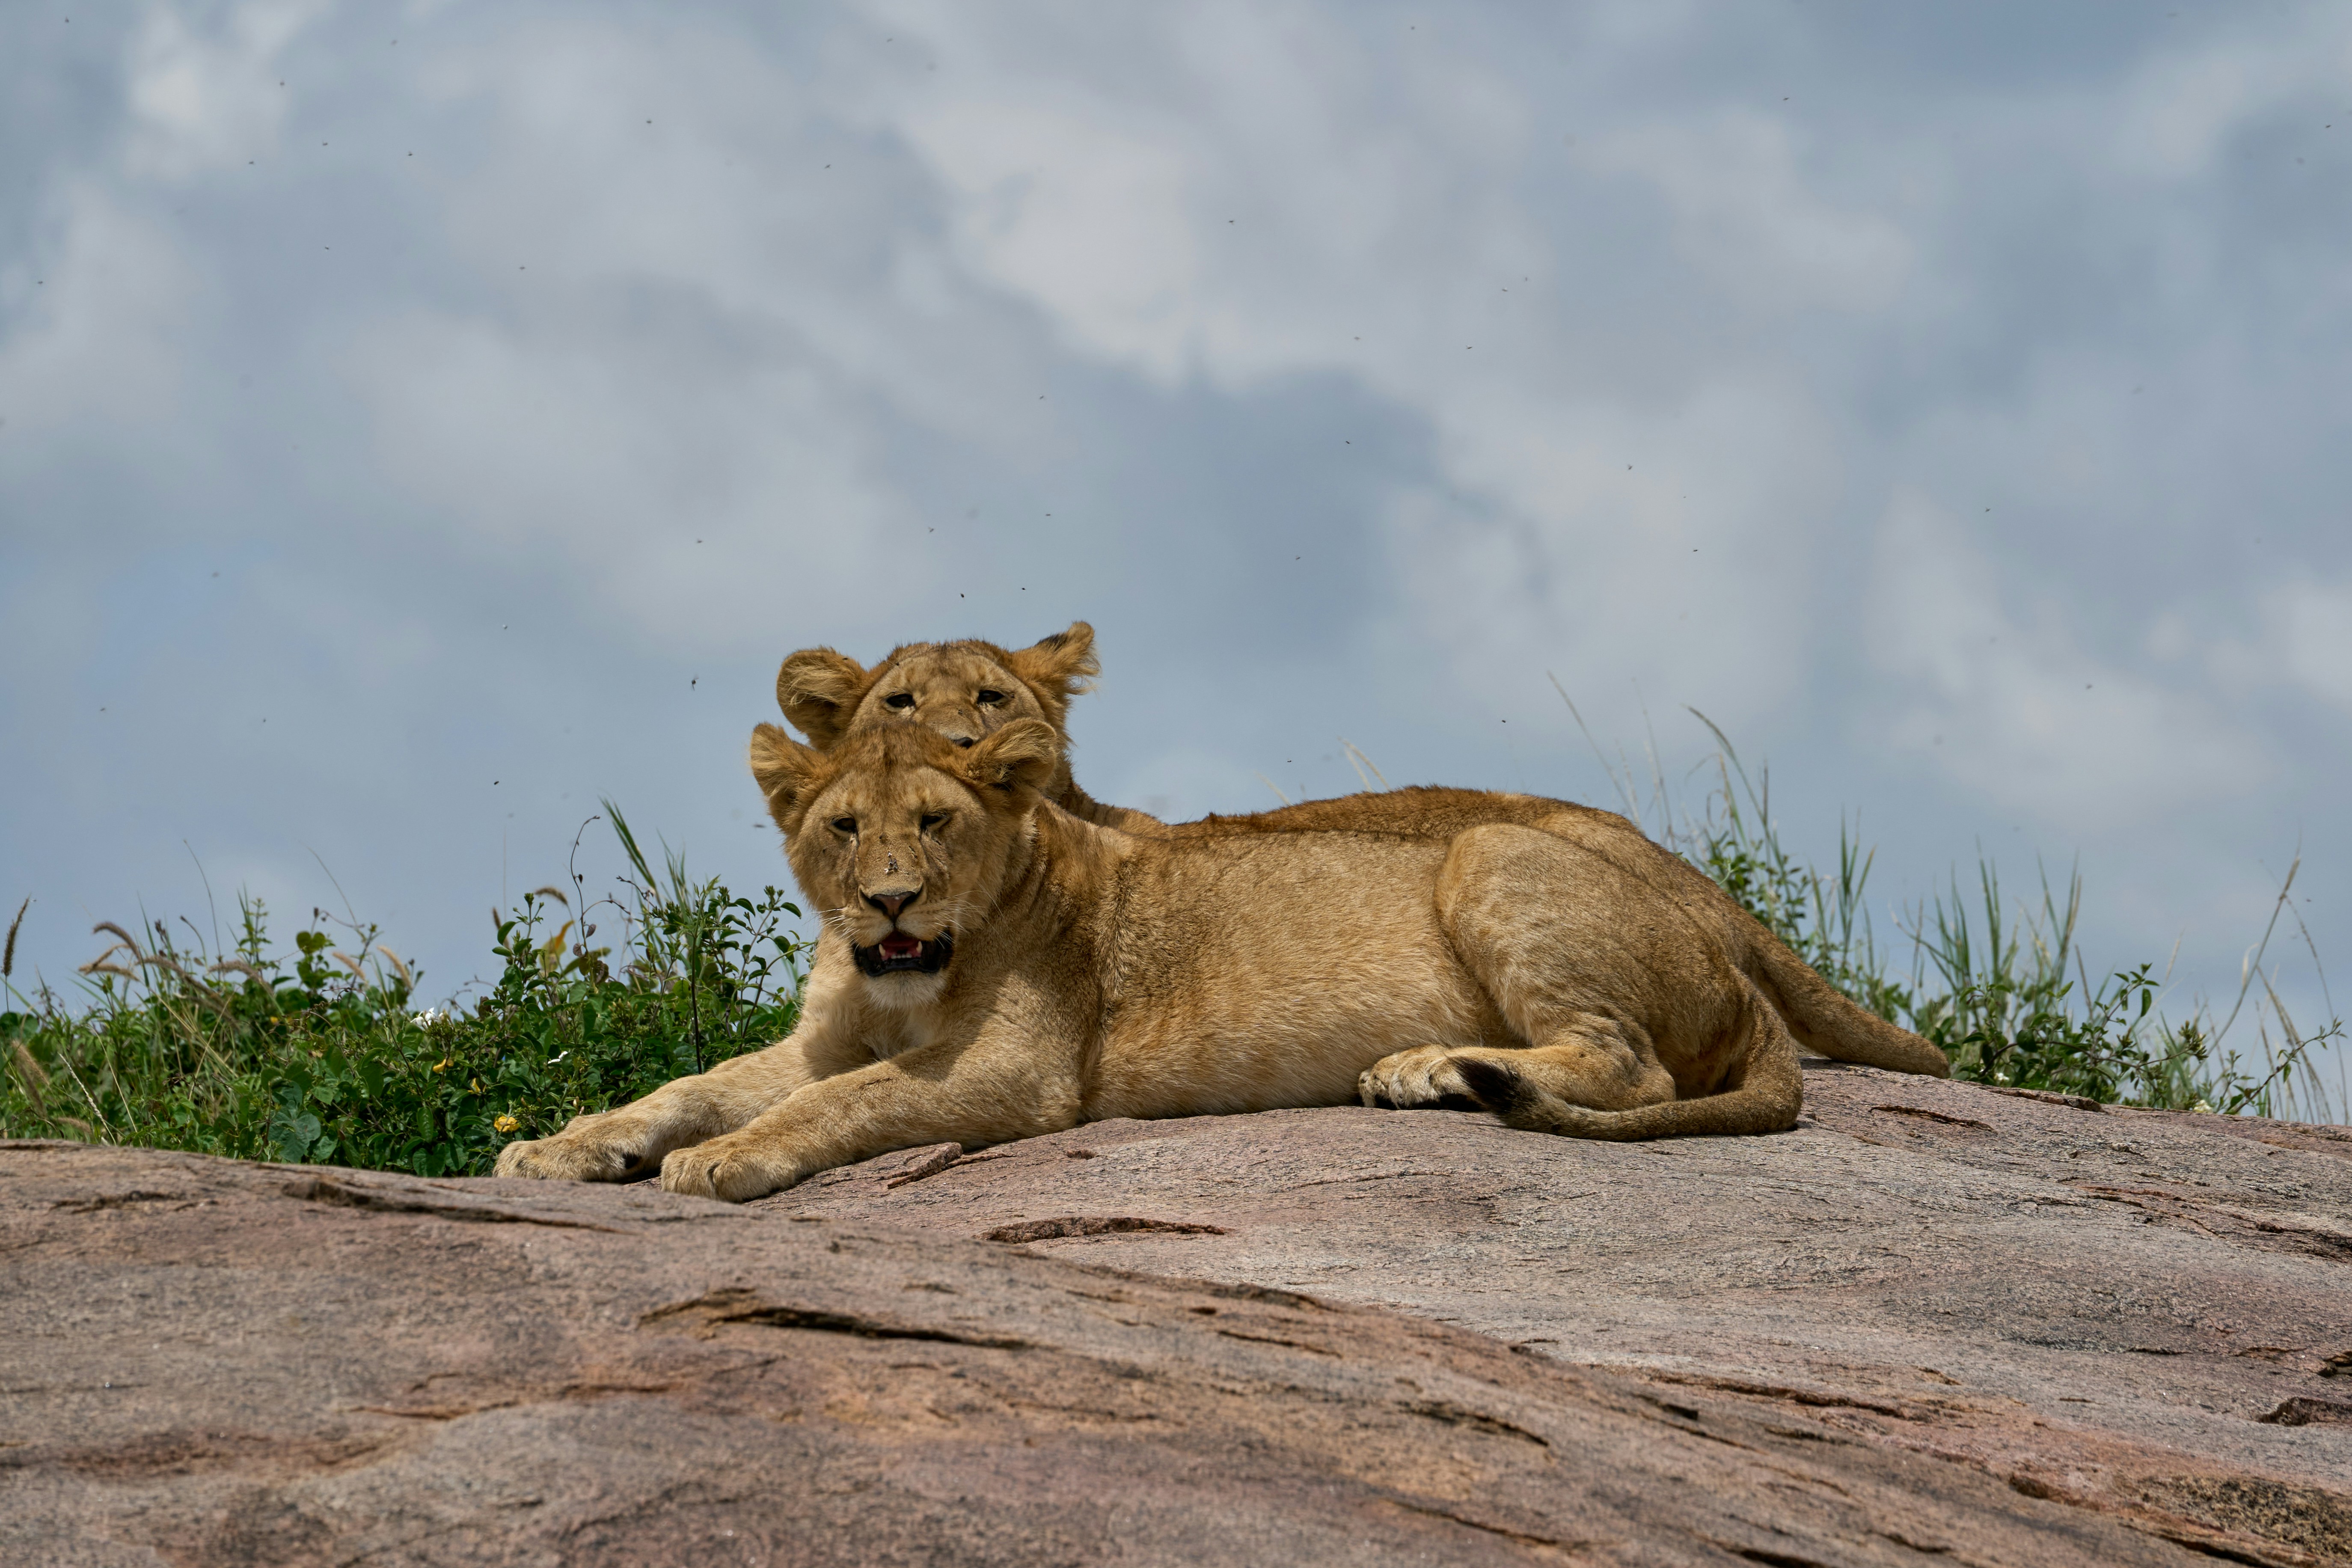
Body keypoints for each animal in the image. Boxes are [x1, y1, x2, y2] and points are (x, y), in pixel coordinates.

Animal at [497, 720, 1879, 1202]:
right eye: (844, 829)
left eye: (934, 822)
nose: (887, 902)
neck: (908, 970)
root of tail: (1730, 950)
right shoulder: (815, 1039)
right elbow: (691, 1083)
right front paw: (564, 1146)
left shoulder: (1019, 1076)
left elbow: (846, 1101)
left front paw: (723, 1161)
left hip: (1489, 845)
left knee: (1634, 1070)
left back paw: (1430, 1068)